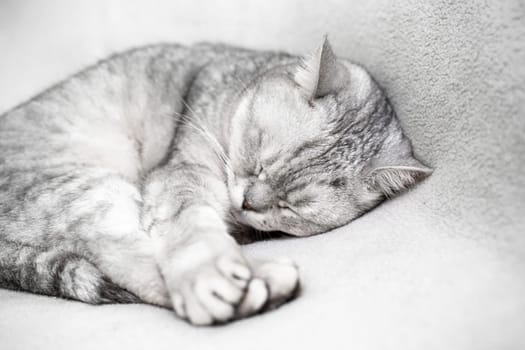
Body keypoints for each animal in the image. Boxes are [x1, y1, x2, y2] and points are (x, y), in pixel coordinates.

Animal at [0, 38, 430, 326]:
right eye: (258, 155)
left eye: (291, 207)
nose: (247, 202)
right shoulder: (182, 172)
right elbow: (192, 229)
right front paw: (209, 271)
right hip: (87, 189)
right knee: (125, 258)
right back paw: (255, 284)